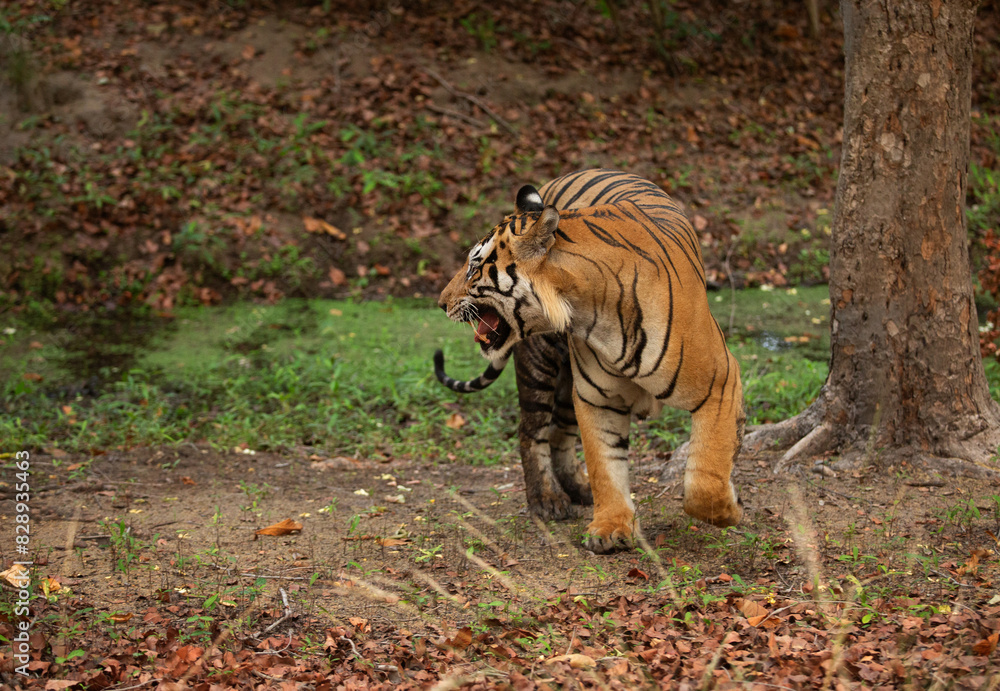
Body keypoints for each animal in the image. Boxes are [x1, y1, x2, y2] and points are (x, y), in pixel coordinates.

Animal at [434, 169, 744, 552]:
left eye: (474, 267)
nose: (440, 302)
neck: (588, 308)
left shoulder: (719, 380)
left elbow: (707, 475)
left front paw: (729, 510)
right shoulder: (598, 399)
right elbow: (604, 465)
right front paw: (611, 527)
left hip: (566, 385)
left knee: (557, 432)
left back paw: (575, 490)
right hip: (539, 364)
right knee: (532, 430)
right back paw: (548, 500)